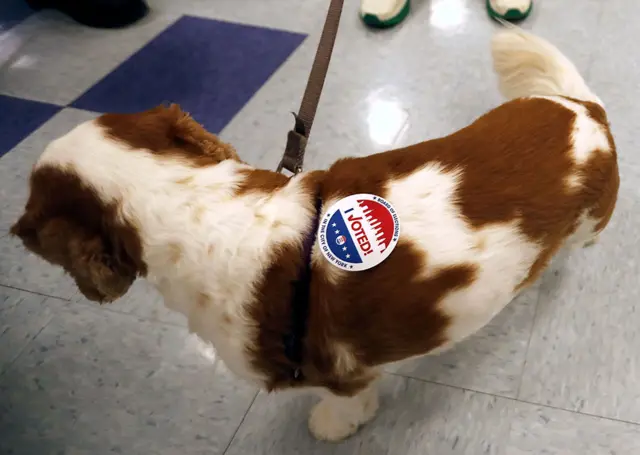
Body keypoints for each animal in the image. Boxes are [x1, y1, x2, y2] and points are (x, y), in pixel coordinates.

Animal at [11, 28, 620, 442]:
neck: (187, 197)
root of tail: (585, 110)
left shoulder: (337, 368)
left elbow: (348, 401)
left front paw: (335, 424)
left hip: (591, 221)